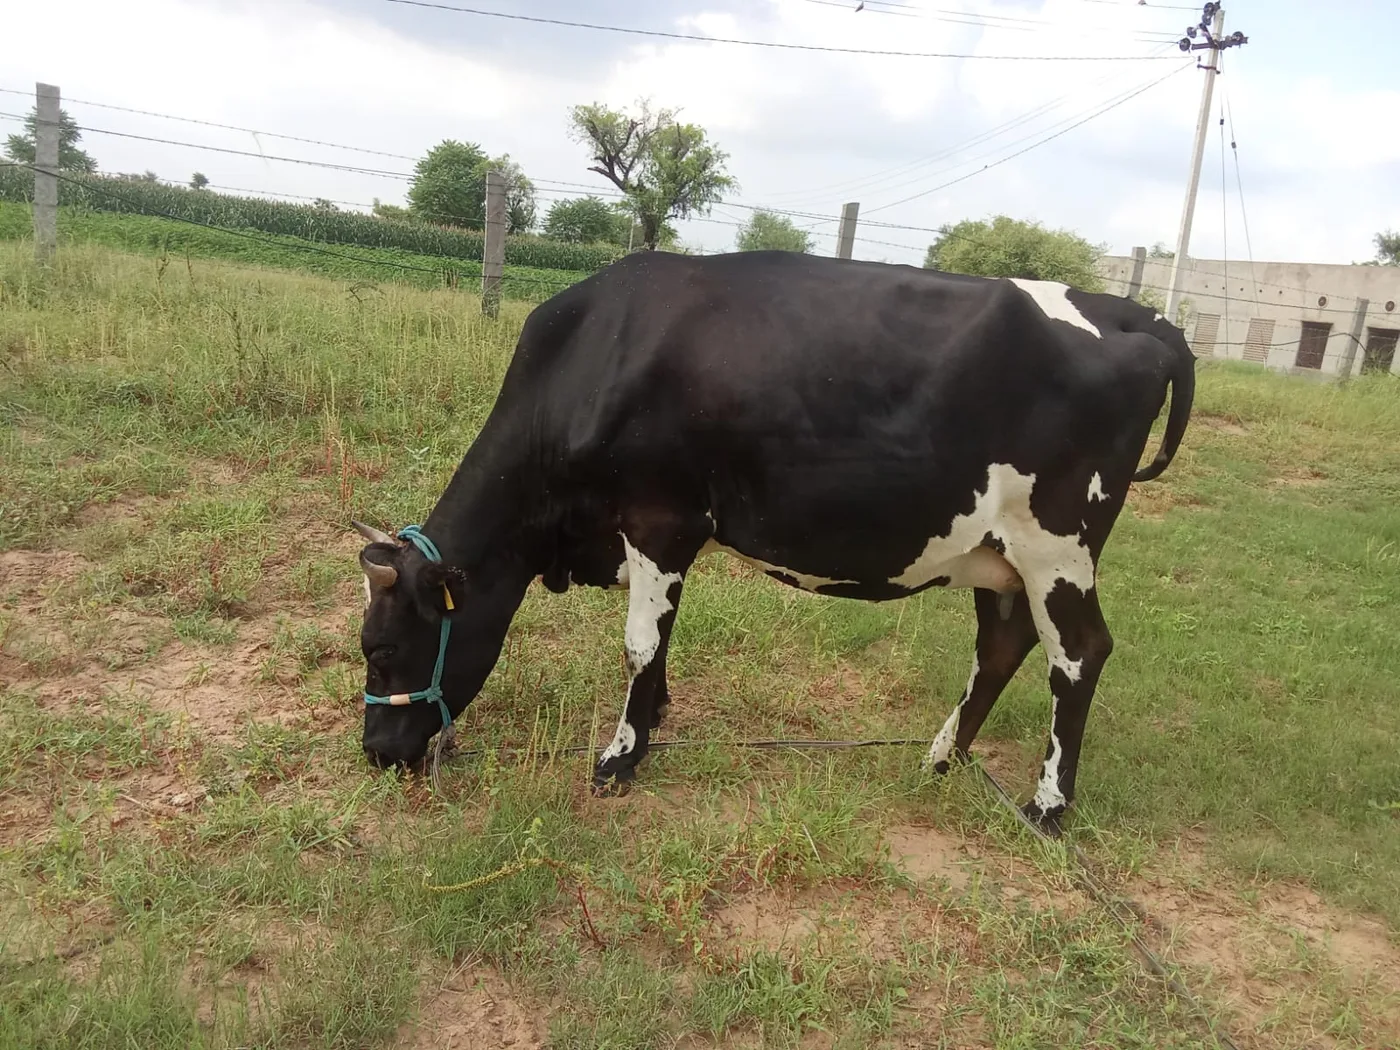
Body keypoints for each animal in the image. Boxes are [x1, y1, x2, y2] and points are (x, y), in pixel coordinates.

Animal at [353, 249, 1194, 832]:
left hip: (1058, 546)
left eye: (381, 648)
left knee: (1078, 655)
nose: (376, 753)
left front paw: (619, 758)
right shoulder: (661, 537)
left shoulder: (659, 518)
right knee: (1003, 645)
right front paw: (655, 720)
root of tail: (1133, 313)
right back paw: (941, 758)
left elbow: (637, 642)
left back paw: (1046, 808)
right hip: (1002, 556)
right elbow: (662, 636)